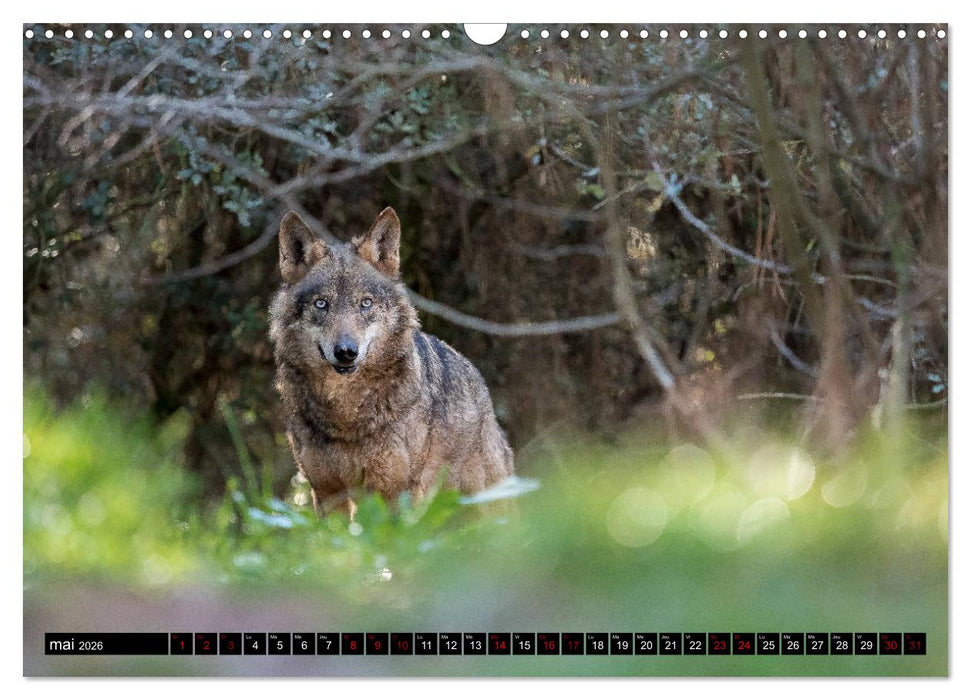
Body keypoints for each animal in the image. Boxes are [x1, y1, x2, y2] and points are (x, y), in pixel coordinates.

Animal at [269, 207, 515, 518]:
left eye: (366, 303)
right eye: (322, 304)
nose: (346, 351)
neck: (346, 415)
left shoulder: (395, 490)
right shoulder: (327, 492)